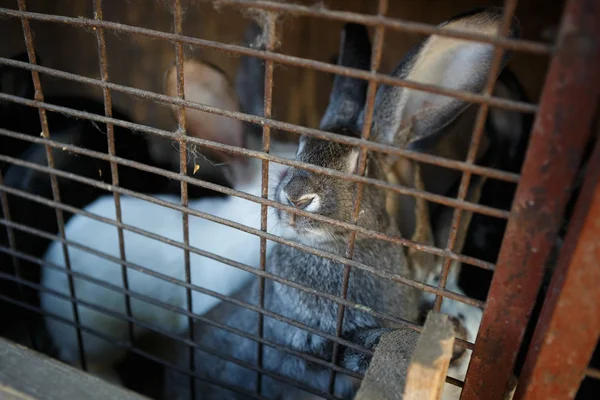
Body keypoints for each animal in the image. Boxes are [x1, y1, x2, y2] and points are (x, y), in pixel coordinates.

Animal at [165, 7, 520, 398]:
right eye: (301, 148)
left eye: (362, 166)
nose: (297, 197)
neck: (336, 251)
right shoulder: (306, 338)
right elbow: (343, 350)